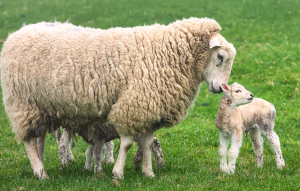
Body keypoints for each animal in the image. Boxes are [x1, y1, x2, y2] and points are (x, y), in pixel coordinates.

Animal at [1, 17, 237, 179]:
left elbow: (148, 143)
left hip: (41, 106)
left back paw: (39, 168)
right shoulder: (132, 106)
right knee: (29, 141)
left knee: (38, 139)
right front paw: (118, 173)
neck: (168, 53)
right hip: (22, 103)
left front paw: (148, 173)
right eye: (220, 56)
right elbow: (126, 144)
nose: (220, 88)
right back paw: (41, 173)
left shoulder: (150, 109)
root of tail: (18, 32)